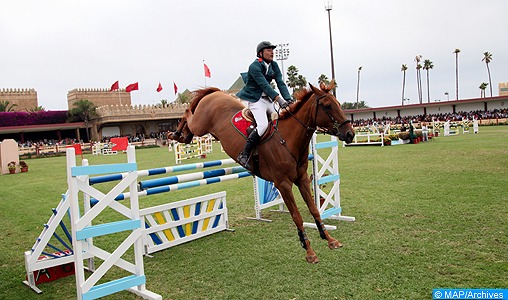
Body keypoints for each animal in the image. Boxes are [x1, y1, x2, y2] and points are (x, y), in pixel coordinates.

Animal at [171, 82, 354, 262]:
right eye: (328, 106)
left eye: (339, 104)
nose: (350, 134)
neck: (288, 140)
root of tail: (216, 93)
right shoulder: (283, 185)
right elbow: (297, 216)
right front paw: (309, 250)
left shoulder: (302, 180)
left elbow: (314, 209)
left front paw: (329, 239)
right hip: (200, 125)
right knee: (188, 114)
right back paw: (176, 134)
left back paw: (184, 136)